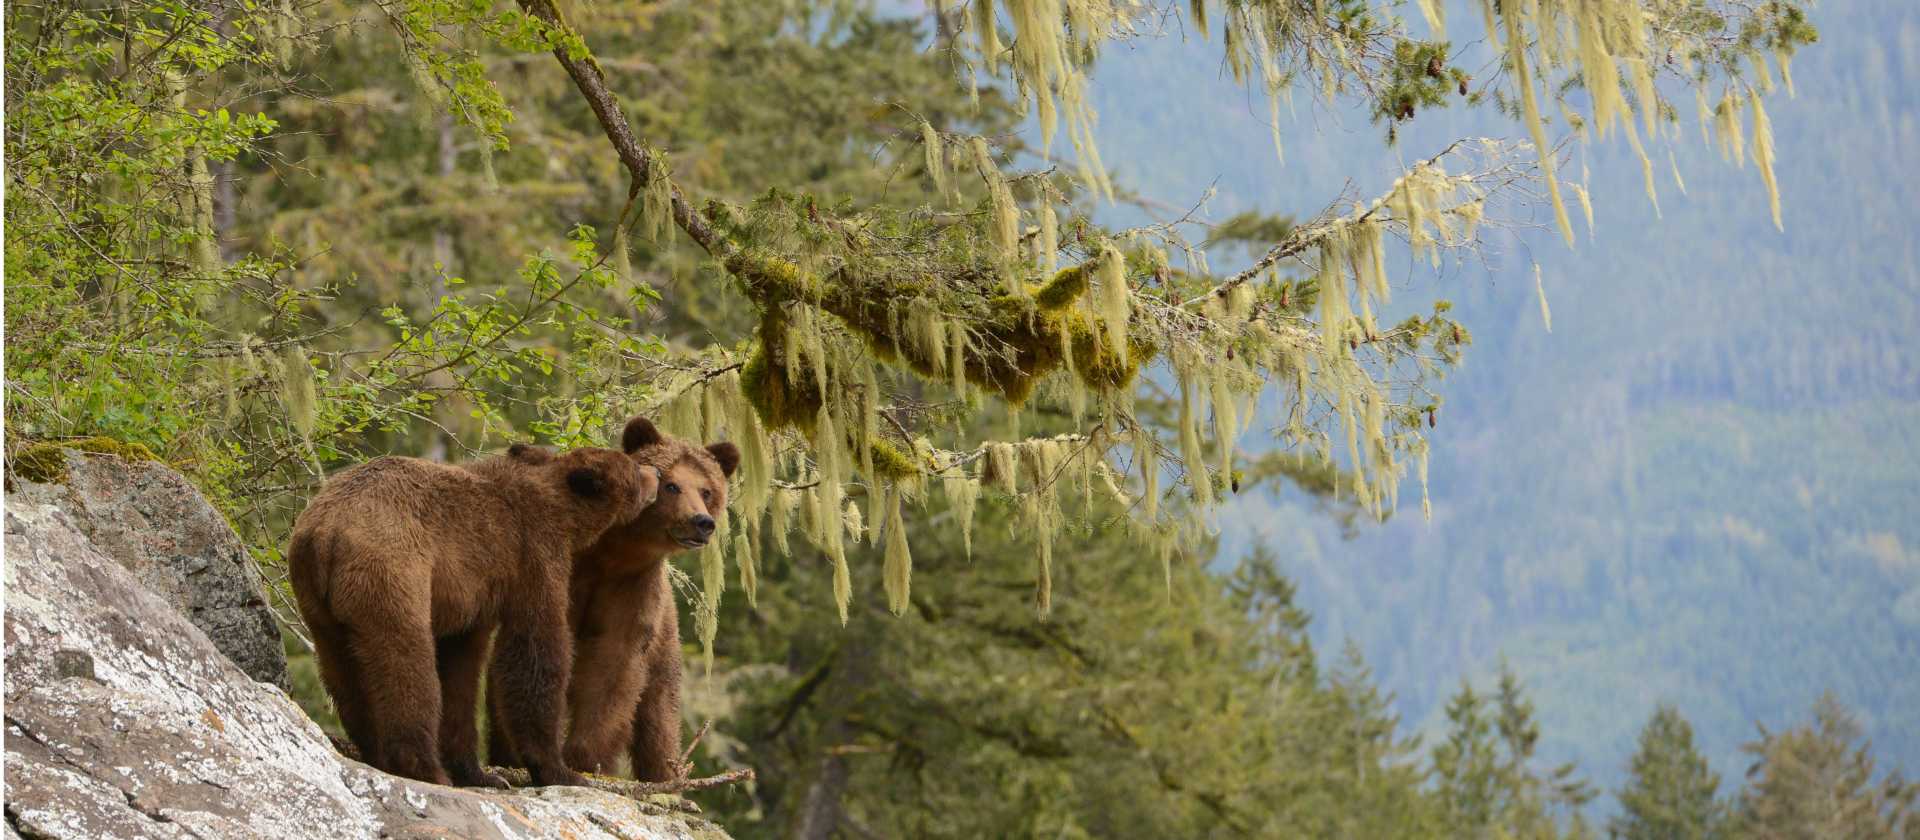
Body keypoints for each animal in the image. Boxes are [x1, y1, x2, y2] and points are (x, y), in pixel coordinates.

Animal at [289, 443, 657, 788]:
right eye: (633, 467)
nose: (654, 473)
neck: (564, 515)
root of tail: (326, 531)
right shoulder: (531, 558)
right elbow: (535, 650)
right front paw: (560, 771)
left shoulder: (468, 597)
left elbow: (461, 673)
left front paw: (480, 773)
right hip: (391, 571)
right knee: (405, 664)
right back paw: (427, 769)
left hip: (317, 602)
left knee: (343, 672)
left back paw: (376, 753)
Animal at [487, 415, 738, 781]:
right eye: (672, 485)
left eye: (707, 490)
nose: (701, 522)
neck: (611, 553)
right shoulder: (568, 570)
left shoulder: (631, 590)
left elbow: (613, 669)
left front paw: (585, 758)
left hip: (664, 653)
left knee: (658, 721)